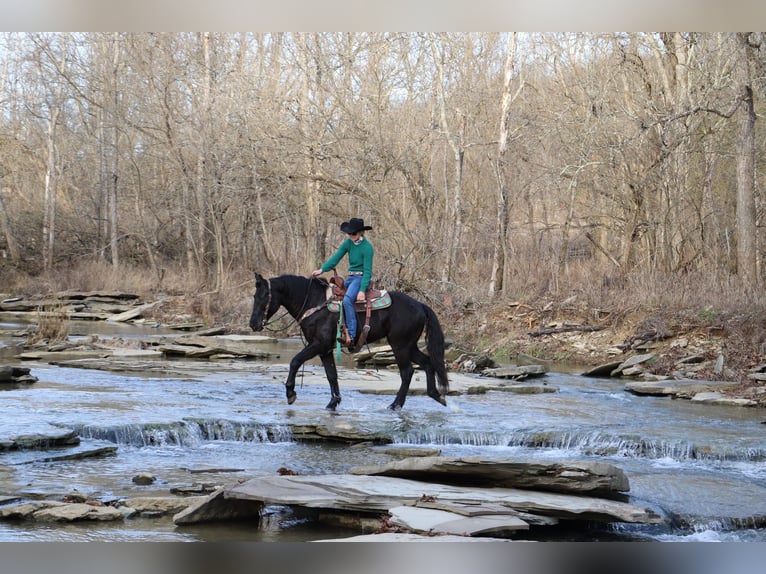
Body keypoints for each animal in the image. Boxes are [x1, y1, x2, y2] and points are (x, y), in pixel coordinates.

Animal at [249, 274, 450, 412]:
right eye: (254, 296)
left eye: (265, 295)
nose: (253, 324)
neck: (314, 303)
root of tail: (420, 305)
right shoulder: (325, 349)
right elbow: (331, 375)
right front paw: (333, 403)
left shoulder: (318, 344)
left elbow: (295, 361)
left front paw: (291, 393)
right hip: (409, 346)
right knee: (428, 363)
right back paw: (436, 395)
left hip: (400, 346)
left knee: (407, 372)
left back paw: (395, 405)